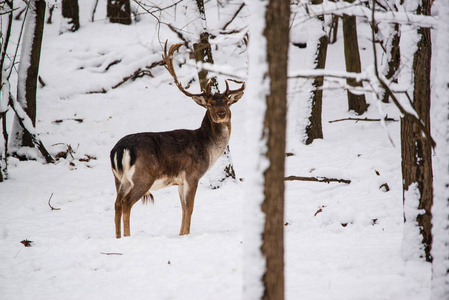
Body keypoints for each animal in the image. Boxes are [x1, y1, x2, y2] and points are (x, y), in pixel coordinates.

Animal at [111, 42, 245, 239]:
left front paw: (181, 234)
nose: (222, 114)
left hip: (119, 180)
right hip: (143, 177)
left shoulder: (180, 182)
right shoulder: (192, 175)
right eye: (209, 104)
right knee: (127, 203)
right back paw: (127, 237)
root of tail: (119, 149)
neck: (208, 149)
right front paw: (186, 235)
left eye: (227, 102)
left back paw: (118, 238)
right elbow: (190, 208)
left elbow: (183, 208)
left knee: (117, 204)